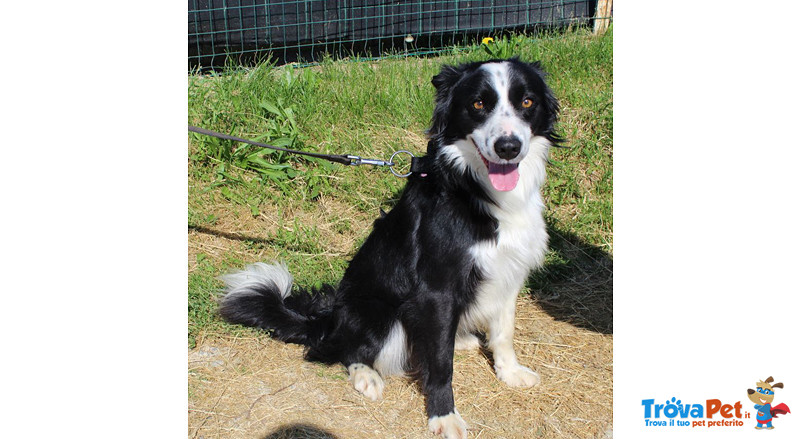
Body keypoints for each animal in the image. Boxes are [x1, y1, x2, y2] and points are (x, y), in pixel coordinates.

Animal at [219, 59, 556, 439]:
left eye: (526, 102)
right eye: (478, 104)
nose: (508, 147)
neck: (474, 189)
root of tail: (330, 318)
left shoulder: (508, 271)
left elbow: (504, 332)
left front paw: (509, 373)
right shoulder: (438, 289)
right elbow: (441, 365)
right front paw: (443, 415)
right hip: (378, 313)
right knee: (344, 349)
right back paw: (366, 375)